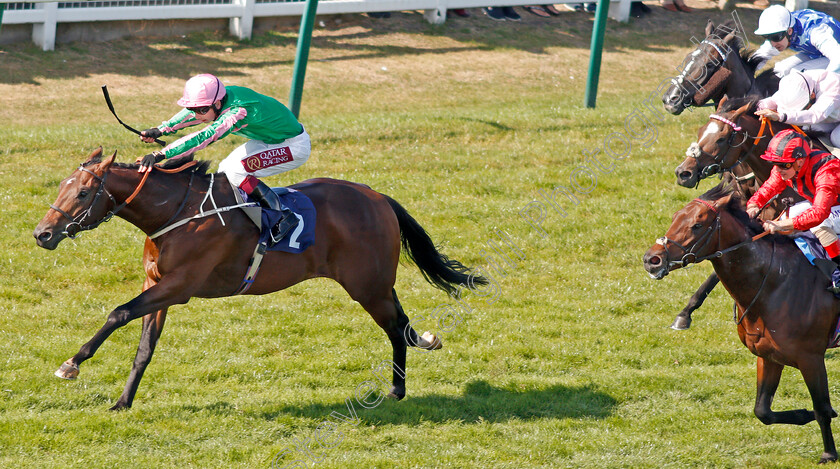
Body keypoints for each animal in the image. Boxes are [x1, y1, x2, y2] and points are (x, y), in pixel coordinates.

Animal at [31, 147, 486, 410]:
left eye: (83, 193)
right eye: (62, 186)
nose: (43, 234)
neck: (176, 212)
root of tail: (378, 197)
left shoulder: (179, 287)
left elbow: (118, 313)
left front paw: (71, 364)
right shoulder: (156, 286)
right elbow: (144, 347)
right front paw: (123, 402)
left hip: (367, 287)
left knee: (394, 328)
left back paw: (396, 390)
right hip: (377, 283)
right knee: (403, 325)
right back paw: (420, 353)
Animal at [644, 185, 840, 462]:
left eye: (697, 225)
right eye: (674, 217)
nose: (652, 259)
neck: (775, 283)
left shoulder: (810, 357)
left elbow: (822, 407)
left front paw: (829, 453)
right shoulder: (768, 356)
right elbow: (763, 411)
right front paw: (805, 414)